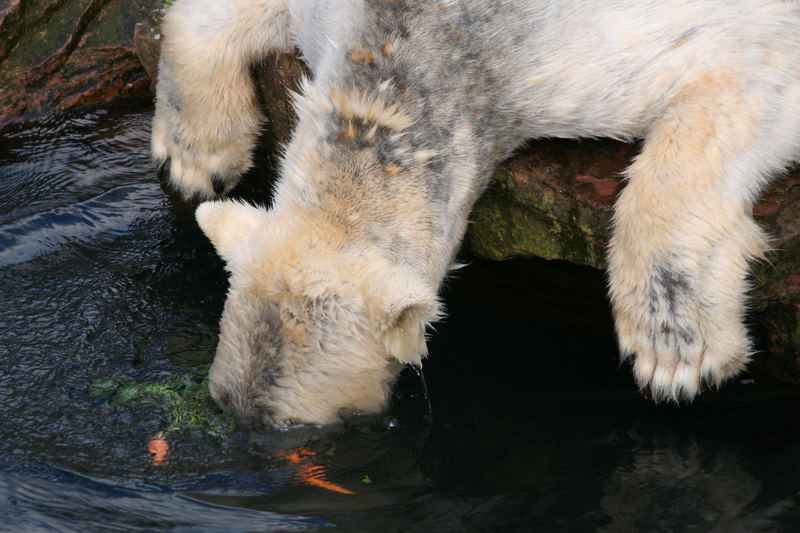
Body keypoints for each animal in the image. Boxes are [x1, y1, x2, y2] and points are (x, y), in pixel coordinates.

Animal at [153, 0, 800, 424]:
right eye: (225, 405)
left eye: (288, 424)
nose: (249, 427)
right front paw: (196, 158)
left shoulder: (564, 55)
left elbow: (746, 67)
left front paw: (675, 351)